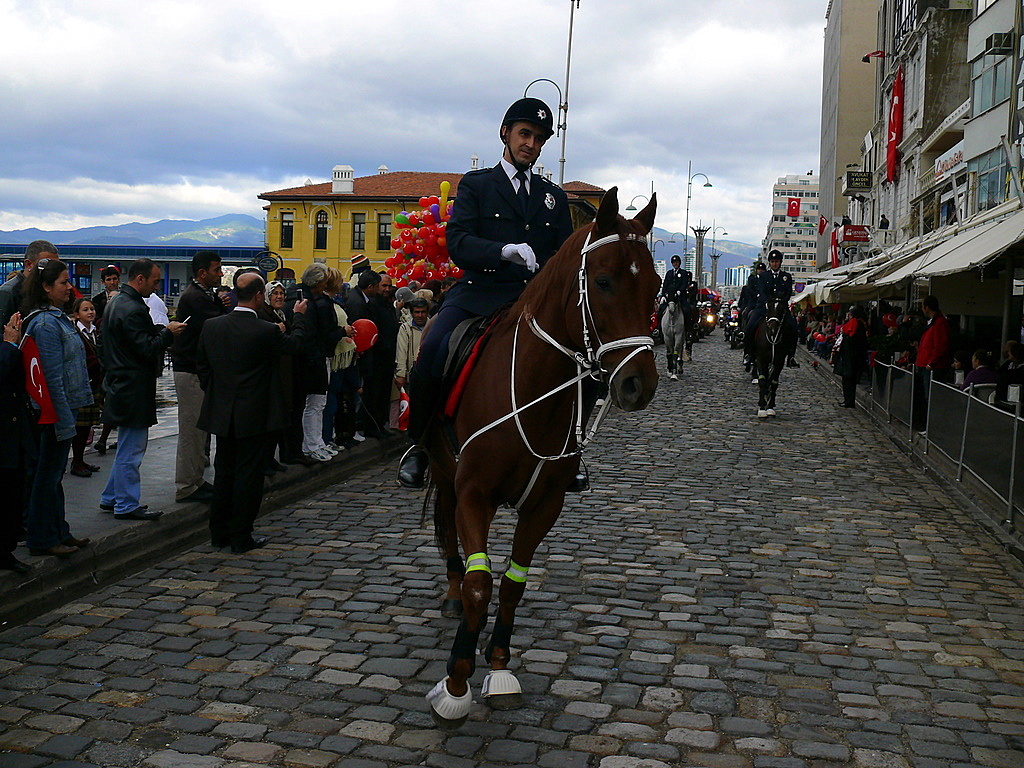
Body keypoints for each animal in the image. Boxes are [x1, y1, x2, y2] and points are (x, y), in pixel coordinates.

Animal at [419, 188, 659, 729]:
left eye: (657, 285)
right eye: (605, 281)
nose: (640, 385)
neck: (534, 386)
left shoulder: (546, 503)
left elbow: (512, 585)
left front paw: (500, 668)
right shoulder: (474, 493)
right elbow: (480, 585)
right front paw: (456, 683)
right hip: (443, 469)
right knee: (447, 527)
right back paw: (450, 592)